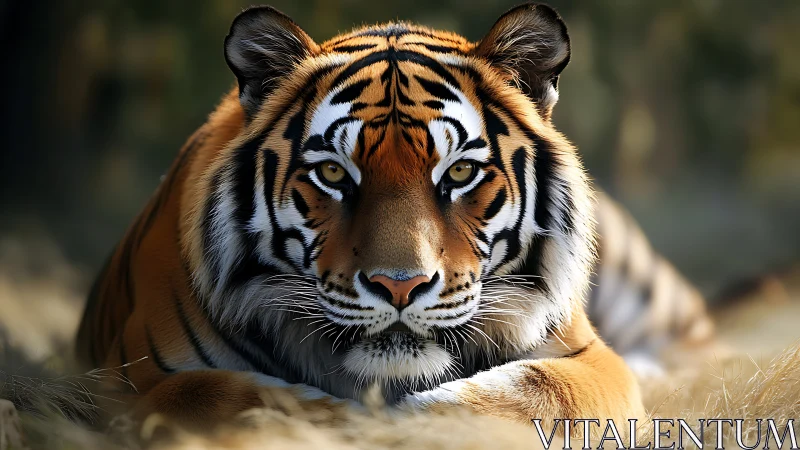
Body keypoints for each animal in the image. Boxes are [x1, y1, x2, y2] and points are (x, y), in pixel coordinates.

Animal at [75, 2, 714, 430]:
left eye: (460, 172)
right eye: (335, 175)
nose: (399, 287)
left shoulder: (589, 358)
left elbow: (543, 390)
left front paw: (421, 421)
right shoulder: (126, 379)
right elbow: (223, 397)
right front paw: (332, 419)